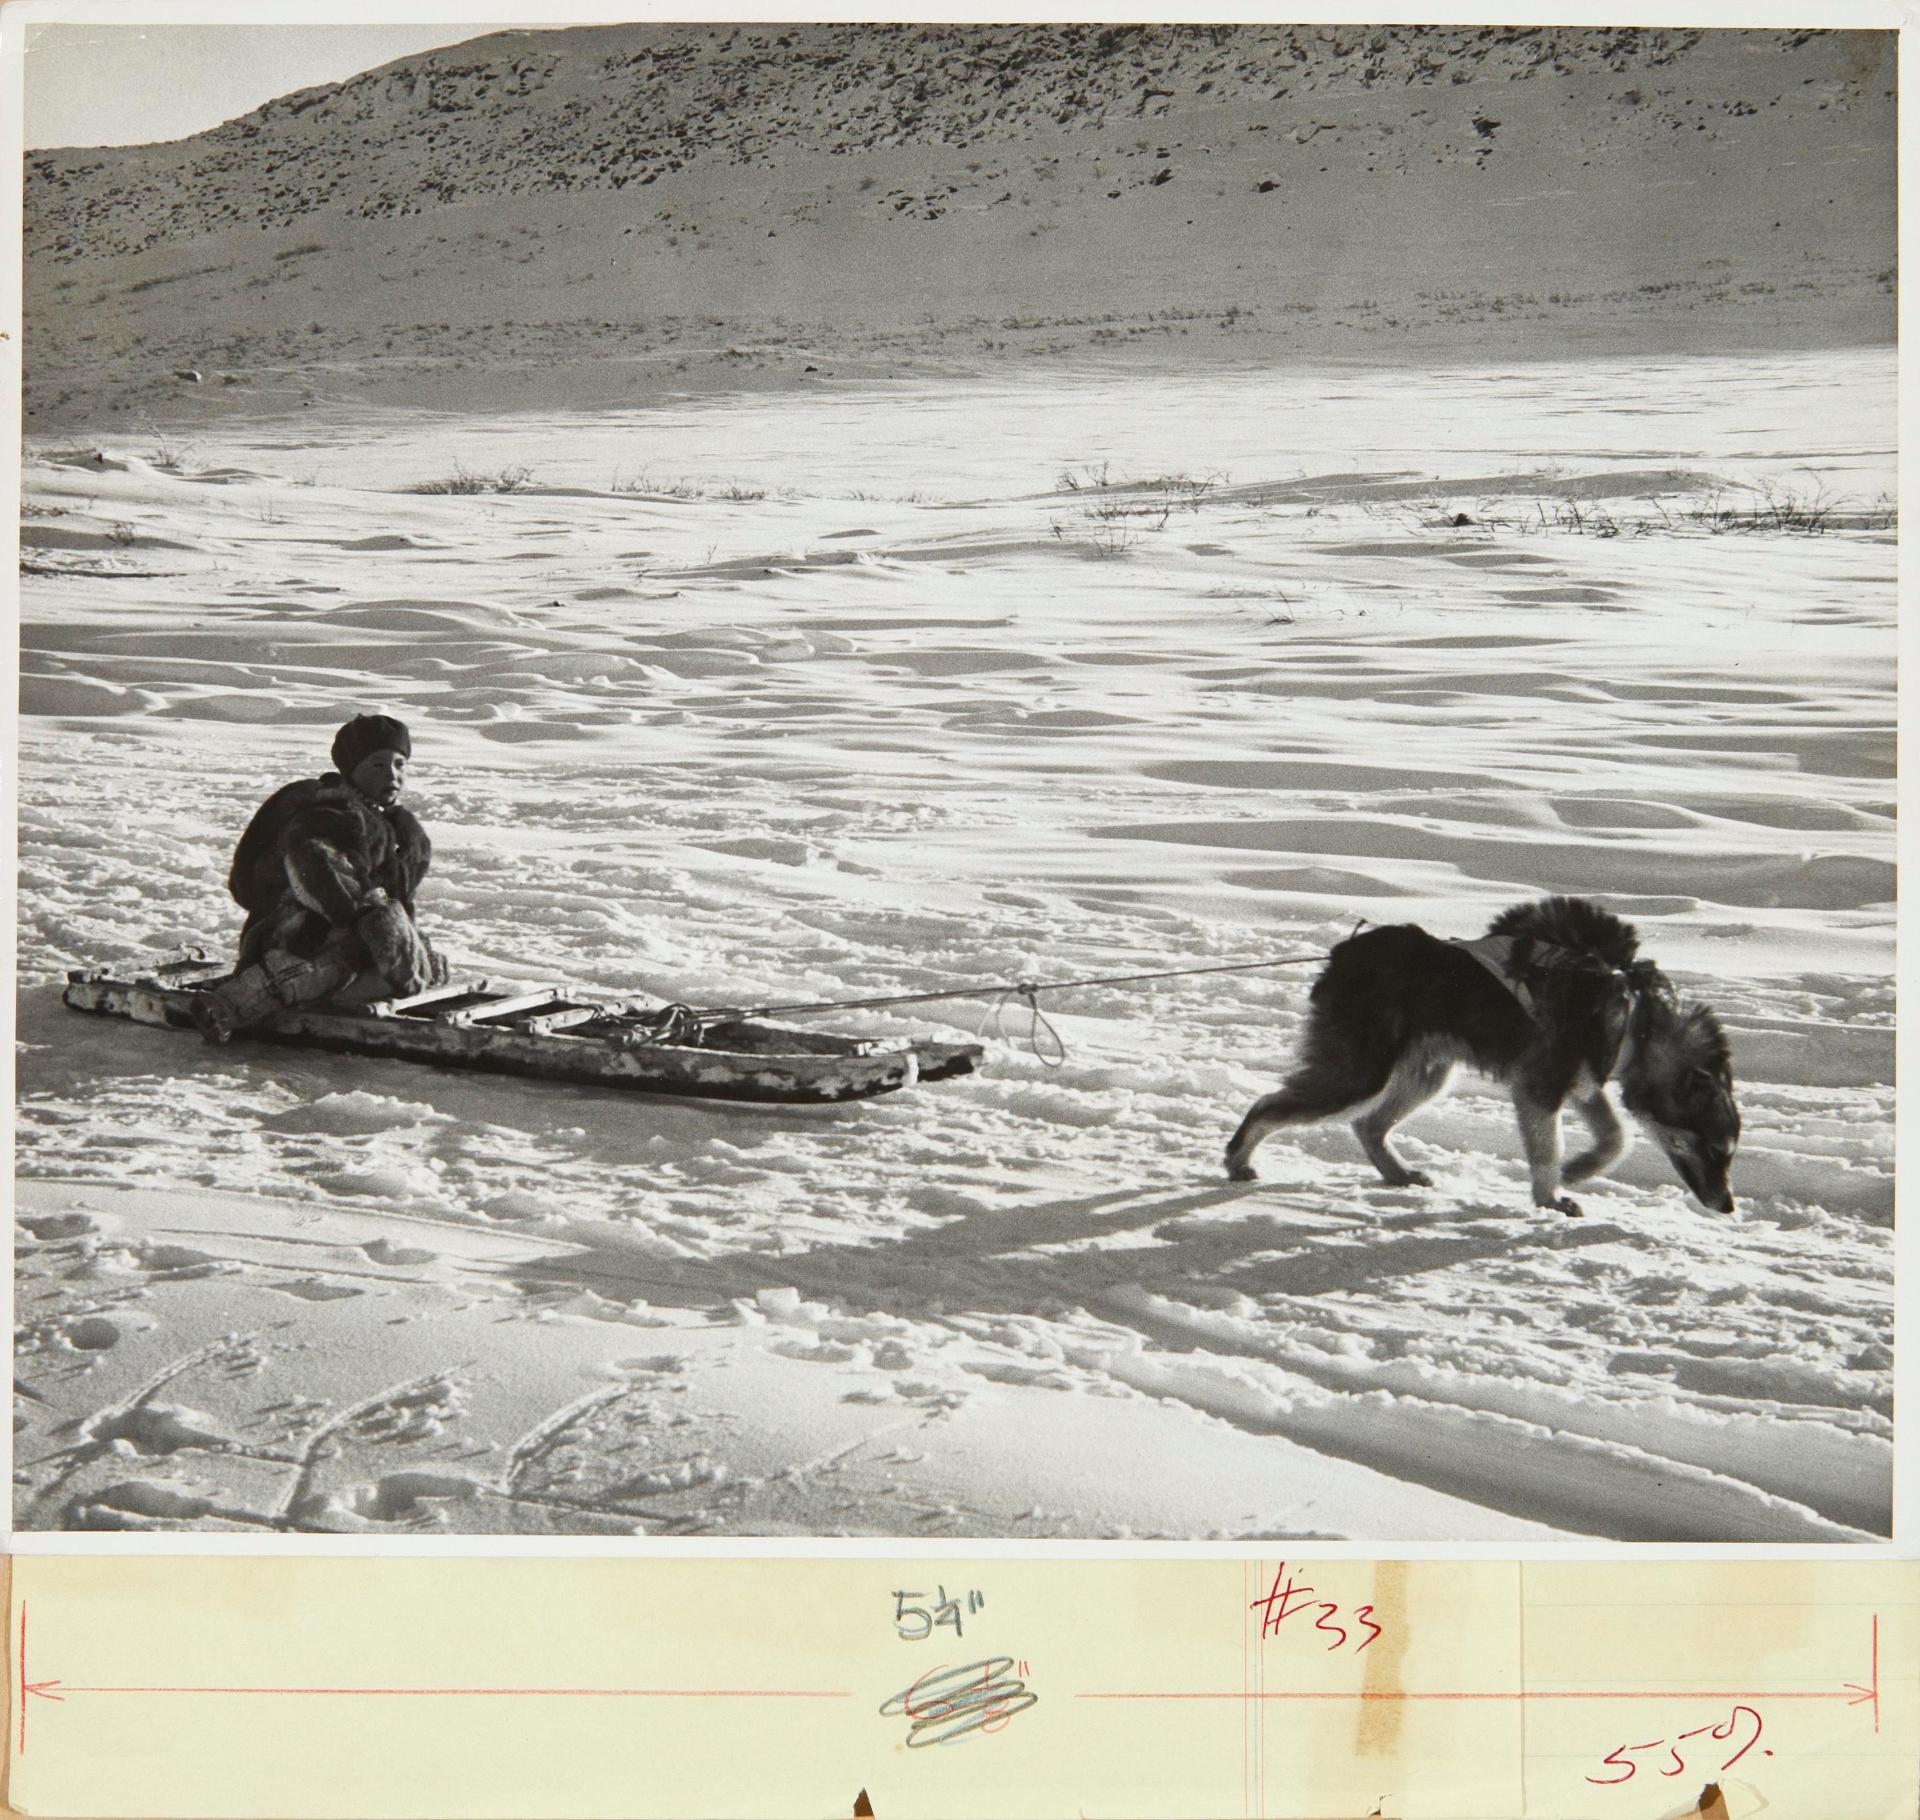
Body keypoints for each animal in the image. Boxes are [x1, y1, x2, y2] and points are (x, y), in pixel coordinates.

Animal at [1228, 890, 1743, 1205]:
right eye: (1716, 1148)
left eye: (1729, 1152)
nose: (1728, 1206)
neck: (1637, 1016)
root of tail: (1344, 953)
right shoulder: (1540, 1088)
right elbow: (1548, 1150)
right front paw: (1551, 1196)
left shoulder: (1580, 1084)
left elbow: (1616, 1137)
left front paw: (1579, 1169)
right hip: (1361, 1074)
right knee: (1268, 1106)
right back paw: (1238, 1159)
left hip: (1427, 1074)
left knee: (1369, 1125)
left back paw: (1397, 1173)